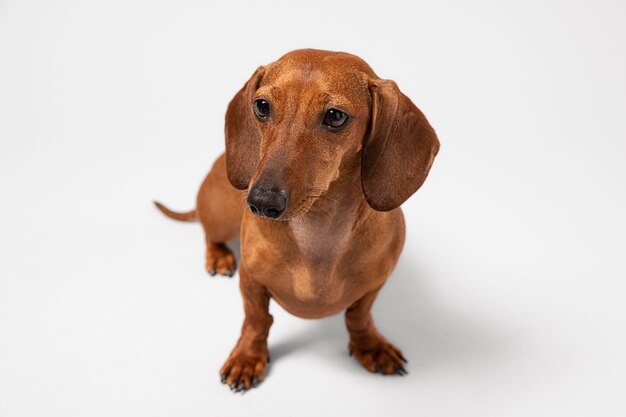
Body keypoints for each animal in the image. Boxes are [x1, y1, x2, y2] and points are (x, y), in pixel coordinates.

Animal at [155, 48, 438, 390]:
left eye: (335, 116)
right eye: (262, 106)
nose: (261, 202)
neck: (317, 230)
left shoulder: (375, 284)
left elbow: (358, 316)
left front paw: (370, 346)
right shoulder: (251, 280)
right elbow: (257, 320)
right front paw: (247, 358)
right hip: (220, 215)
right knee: (210, 233)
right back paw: (218, 256)